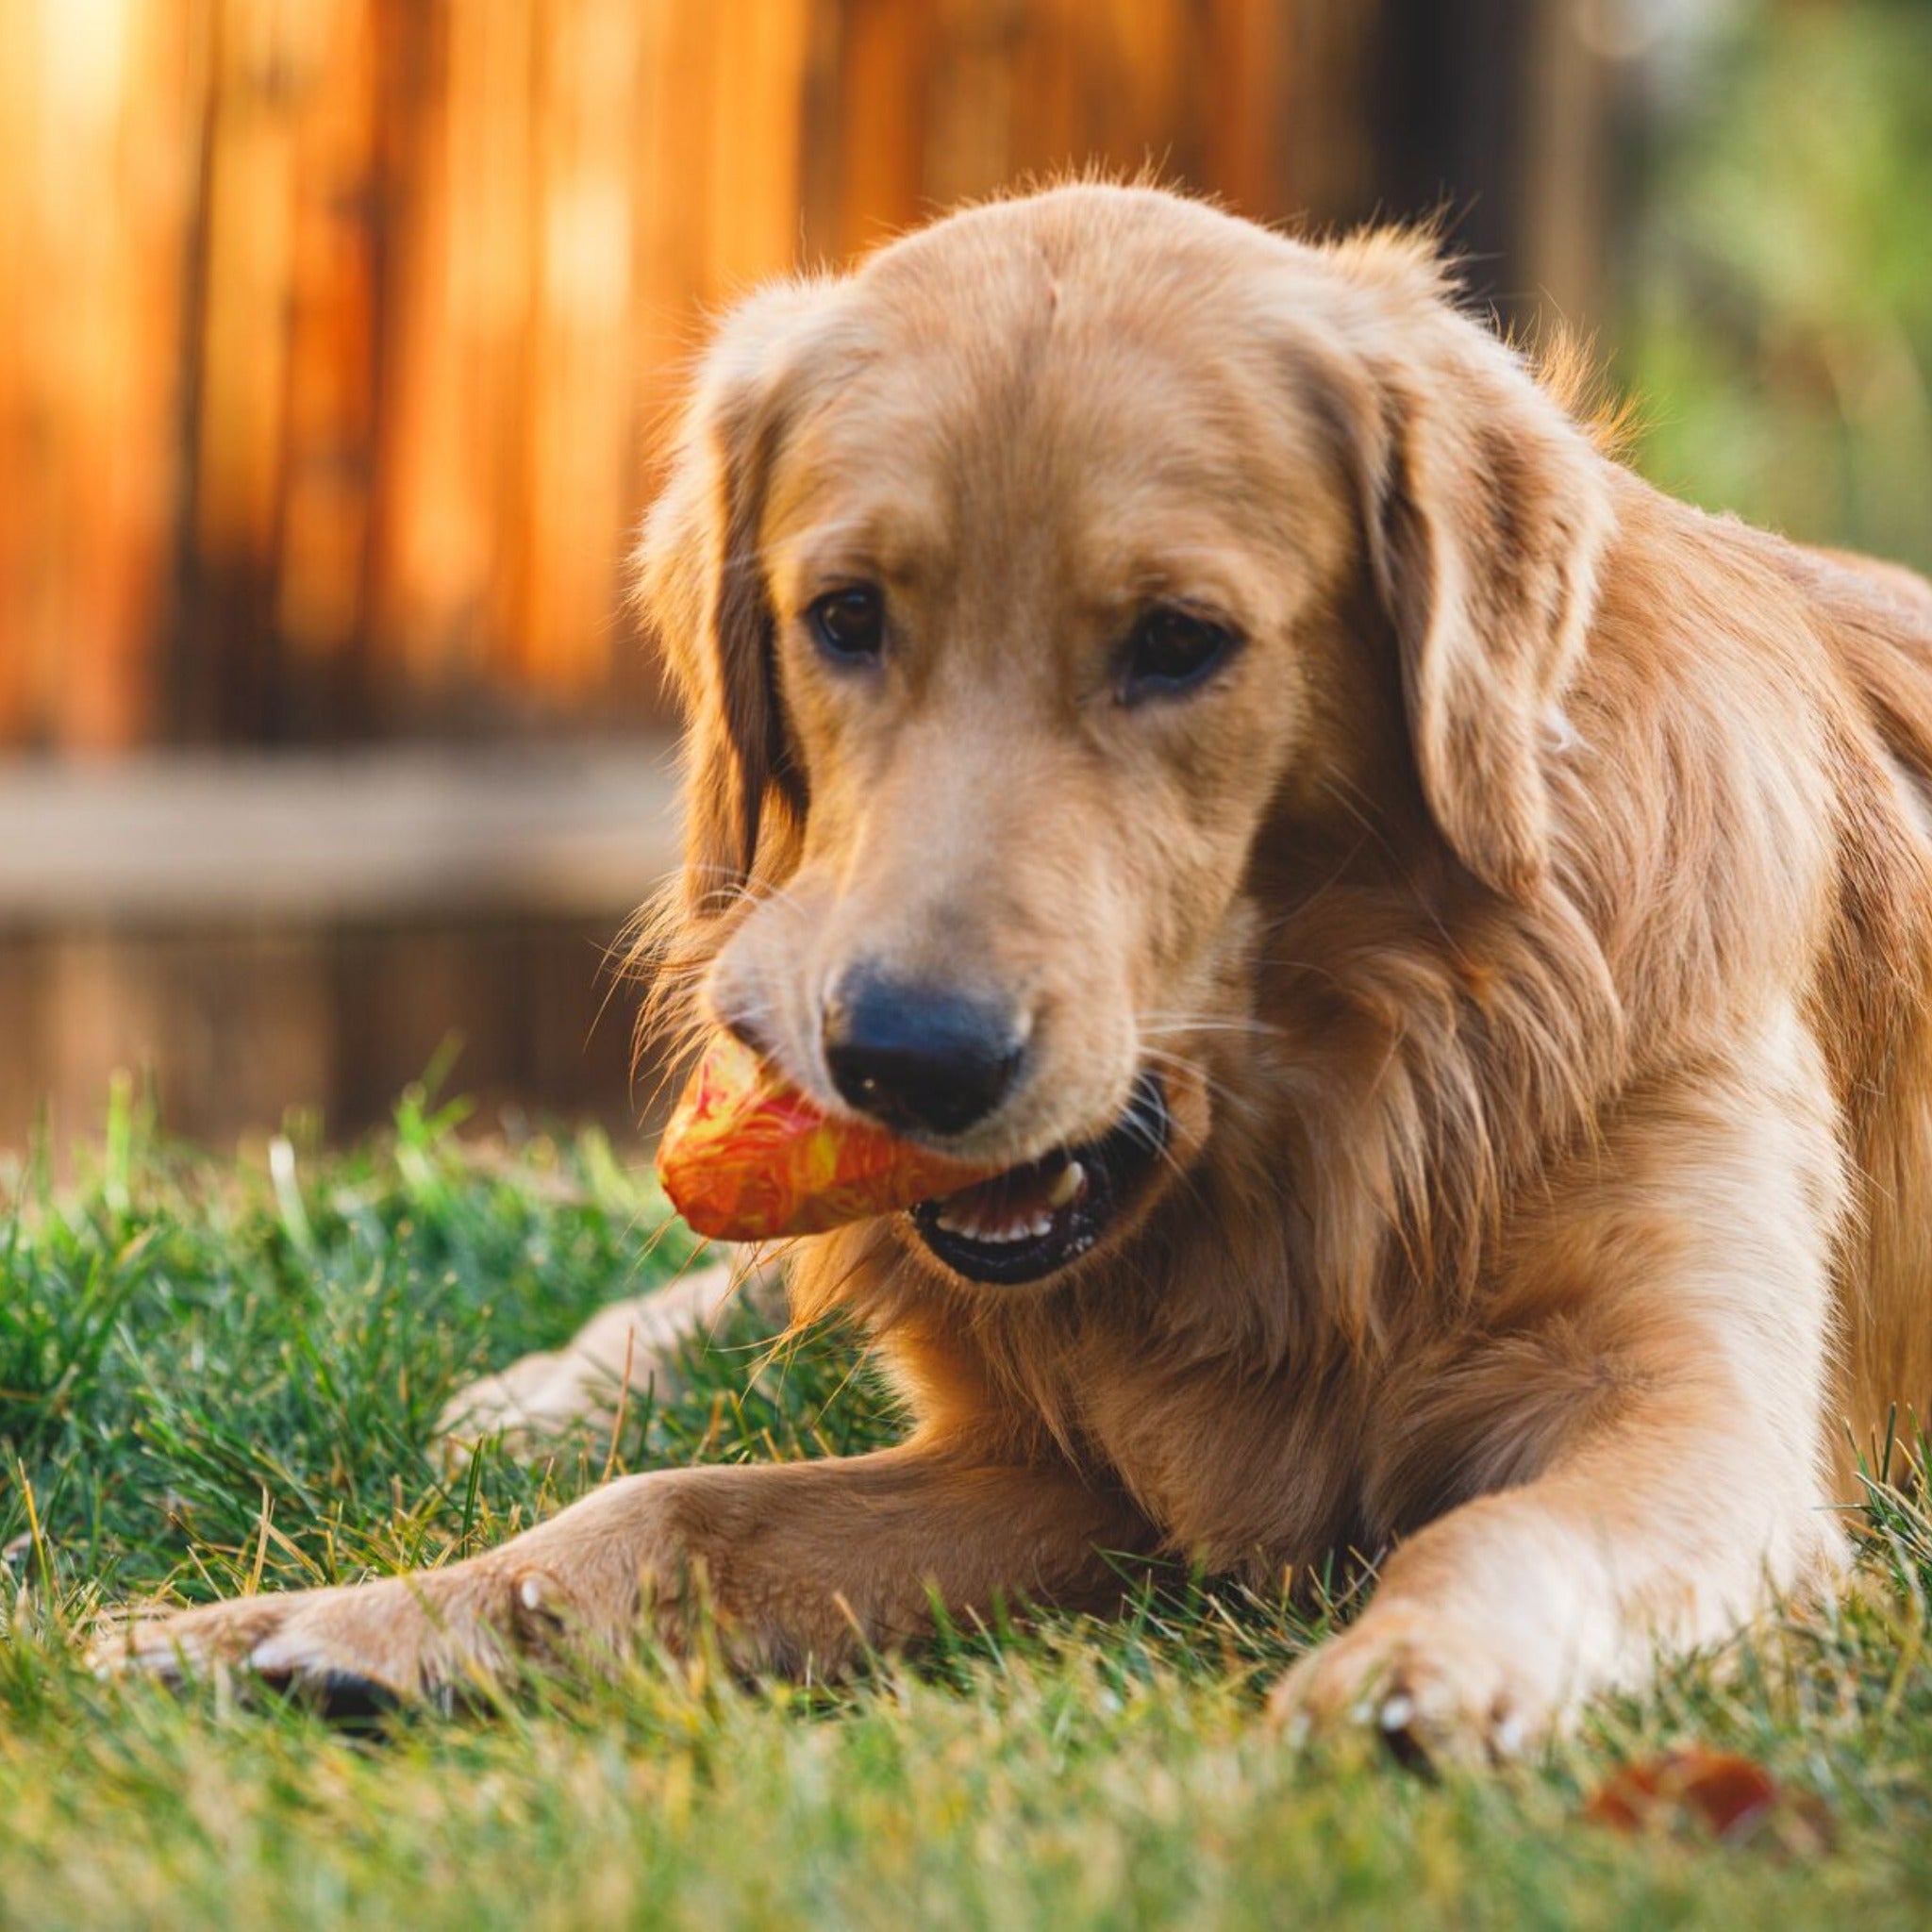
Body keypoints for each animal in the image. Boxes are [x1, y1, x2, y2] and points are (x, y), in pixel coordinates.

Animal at [106, 188, 1932, 1761]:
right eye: (843, 616)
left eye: (1180, 642)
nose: (910, 1057)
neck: (1346, 1116)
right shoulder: (1050, 1467)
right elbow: (674, 1510)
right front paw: (350, 1617)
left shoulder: (1691, 1422)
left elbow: (1501, 1531)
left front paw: (1421, 1668)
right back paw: (548, 1388)